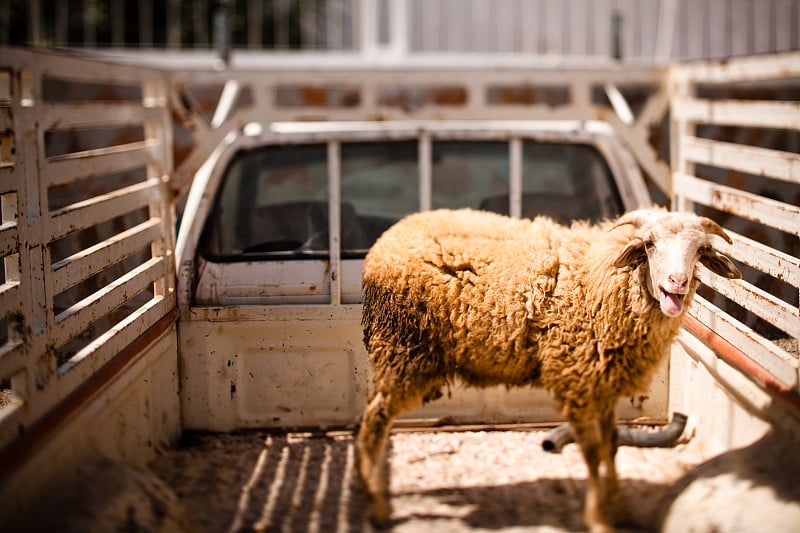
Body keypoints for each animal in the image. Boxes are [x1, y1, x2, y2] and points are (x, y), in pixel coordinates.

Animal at [356, 207, 744, 532]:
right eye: (649, 245)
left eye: (700, 250)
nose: (677, 283)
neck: (601, 277)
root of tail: (382, 245)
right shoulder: (576, 377)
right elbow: (592, 453)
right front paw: (599, 519)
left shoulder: (602, 383)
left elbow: (612, 447)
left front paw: (619, 509)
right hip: (403, 348)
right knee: (374, 422)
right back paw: (376, 505)